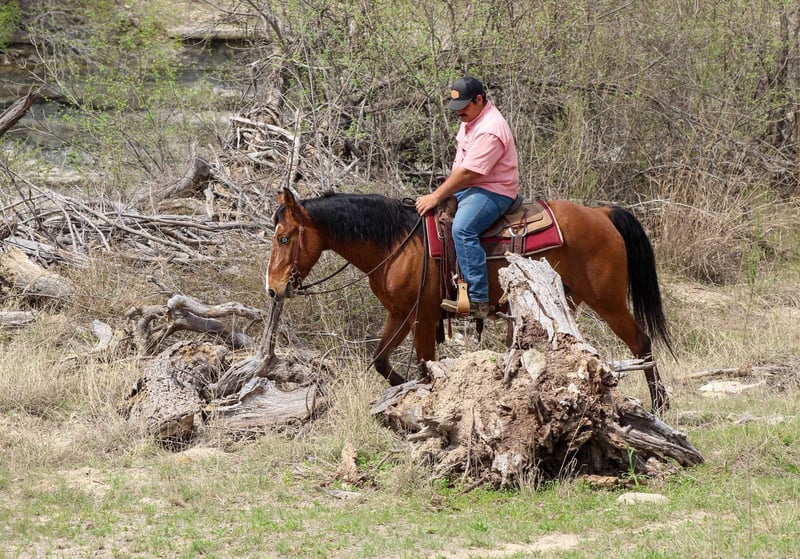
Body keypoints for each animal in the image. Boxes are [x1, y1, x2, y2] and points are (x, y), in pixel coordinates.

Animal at [266, 187, 672, 412]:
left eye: (284, 238)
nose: (273, 288)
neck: (398, 243)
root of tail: (601, 213)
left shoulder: (423, 316)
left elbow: (426, 367)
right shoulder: (400, 314)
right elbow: (381, 360)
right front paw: (399, 393)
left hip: (608, 301)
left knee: (641, 342)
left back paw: (661, 404)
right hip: (562, 304)